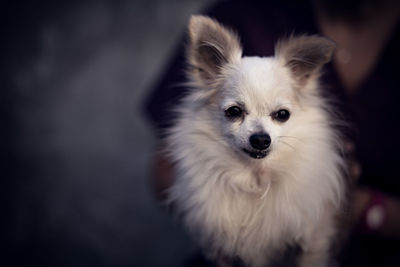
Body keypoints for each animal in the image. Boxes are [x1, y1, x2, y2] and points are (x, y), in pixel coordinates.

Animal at [165, 15, 346, 266]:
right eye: (234, 112)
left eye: (282, 115)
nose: (261, 139)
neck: (255, 177)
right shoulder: (222, 251)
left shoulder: (313, 240)